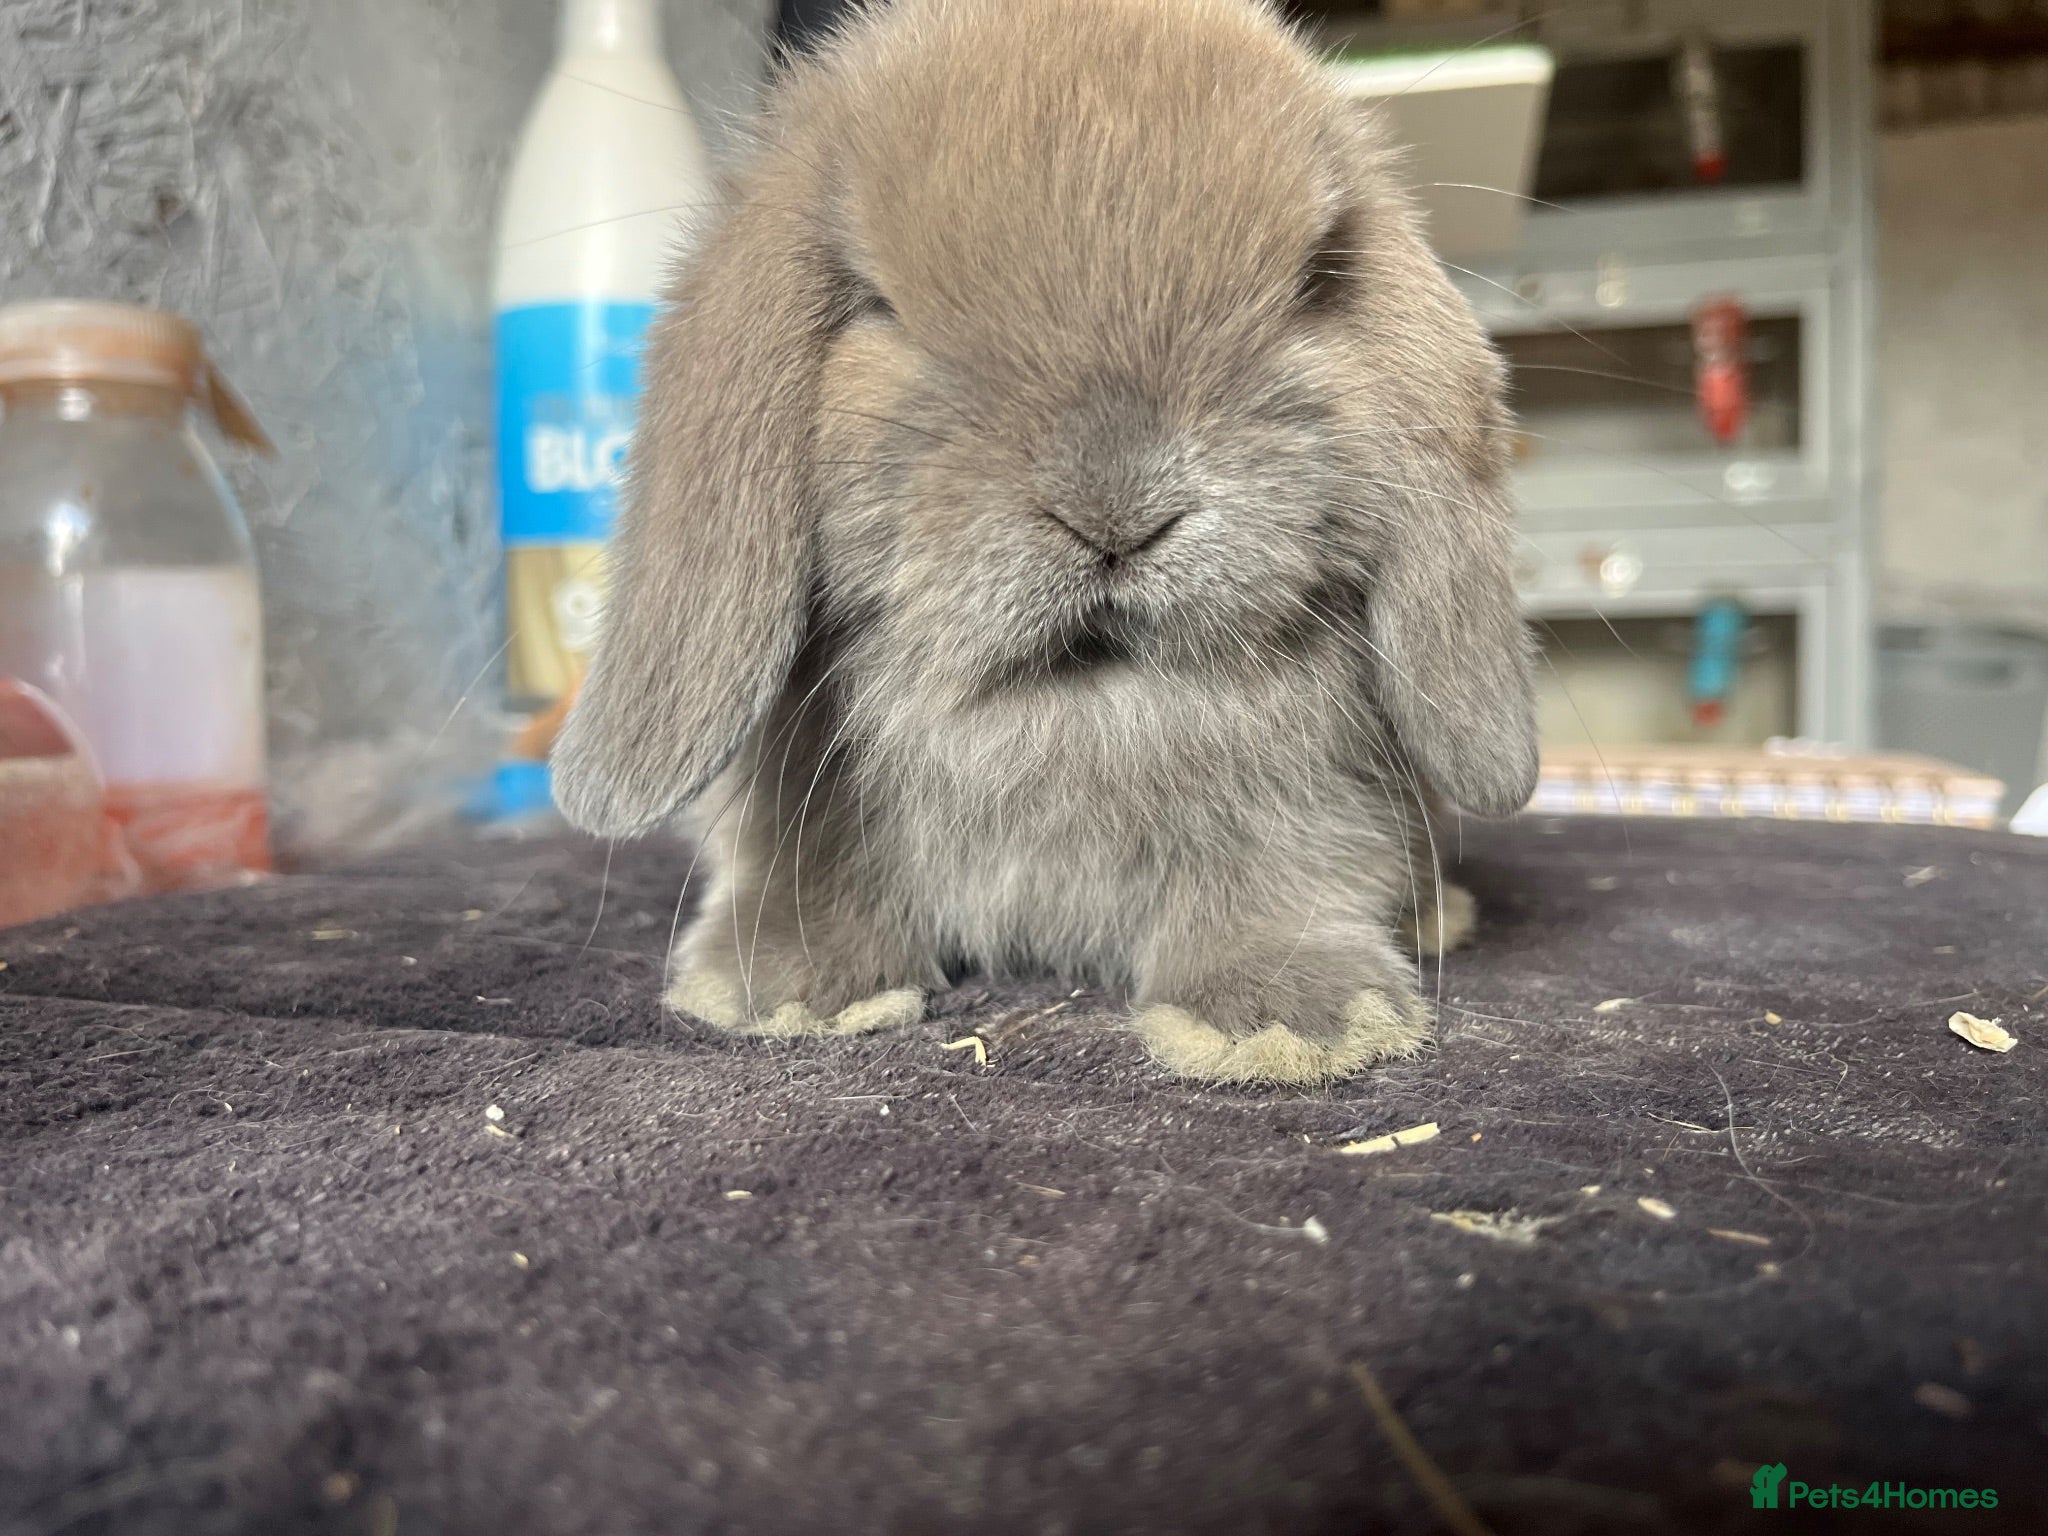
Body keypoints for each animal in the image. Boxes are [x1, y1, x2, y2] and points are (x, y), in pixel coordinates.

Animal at [550, 0, 1537, 1086]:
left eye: (1312, 284)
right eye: (876, 305)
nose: (1115, 509)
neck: (1074, 699)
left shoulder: (1311, 812)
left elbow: (1283, 886)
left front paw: (1292, 1020)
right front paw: (783, 989)